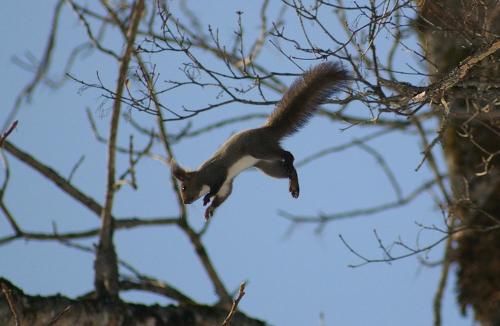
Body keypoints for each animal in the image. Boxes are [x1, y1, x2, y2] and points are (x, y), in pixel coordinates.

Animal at [174, 61, 350, 219]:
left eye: (183, 187)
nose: (185, 202)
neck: (201, 177)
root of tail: (267, 130)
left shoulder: (218, 173)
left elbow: (215, 187)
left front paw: (207, 198)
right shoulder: (227, 184)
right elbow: (224, 195)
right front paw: (210, 209)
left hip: (260, 149)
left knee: (288, 154)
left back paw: (290, 166)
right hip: (265, 165)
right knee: (287, 170)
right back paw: (293, 183)